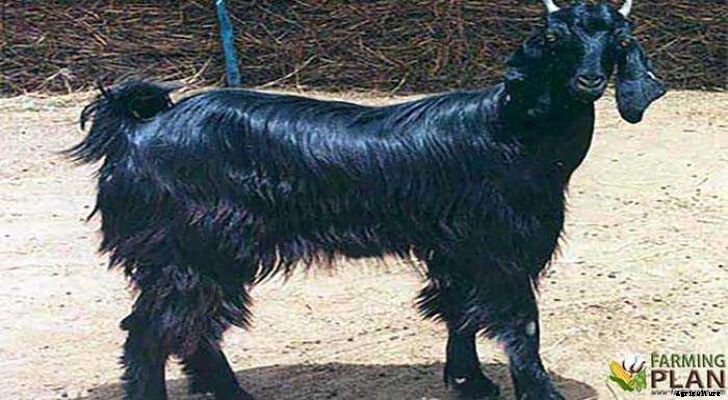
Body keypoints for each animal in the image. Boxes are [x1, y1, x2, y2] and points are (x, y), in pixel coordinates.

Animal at [68, 1, 664, 399]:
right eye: (556, 39)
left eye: (617, 41)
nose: (589, 80)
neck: (512, 127)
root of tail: (138, 127)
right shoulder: (502, 247)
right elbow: (520, 325)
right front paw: (535, 391)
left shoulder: (458, 248)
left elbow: (459, 312)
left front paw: (468, 380)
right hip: (189, 249)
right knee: (152, 333)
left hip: (212, 254)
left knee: (191, 330)